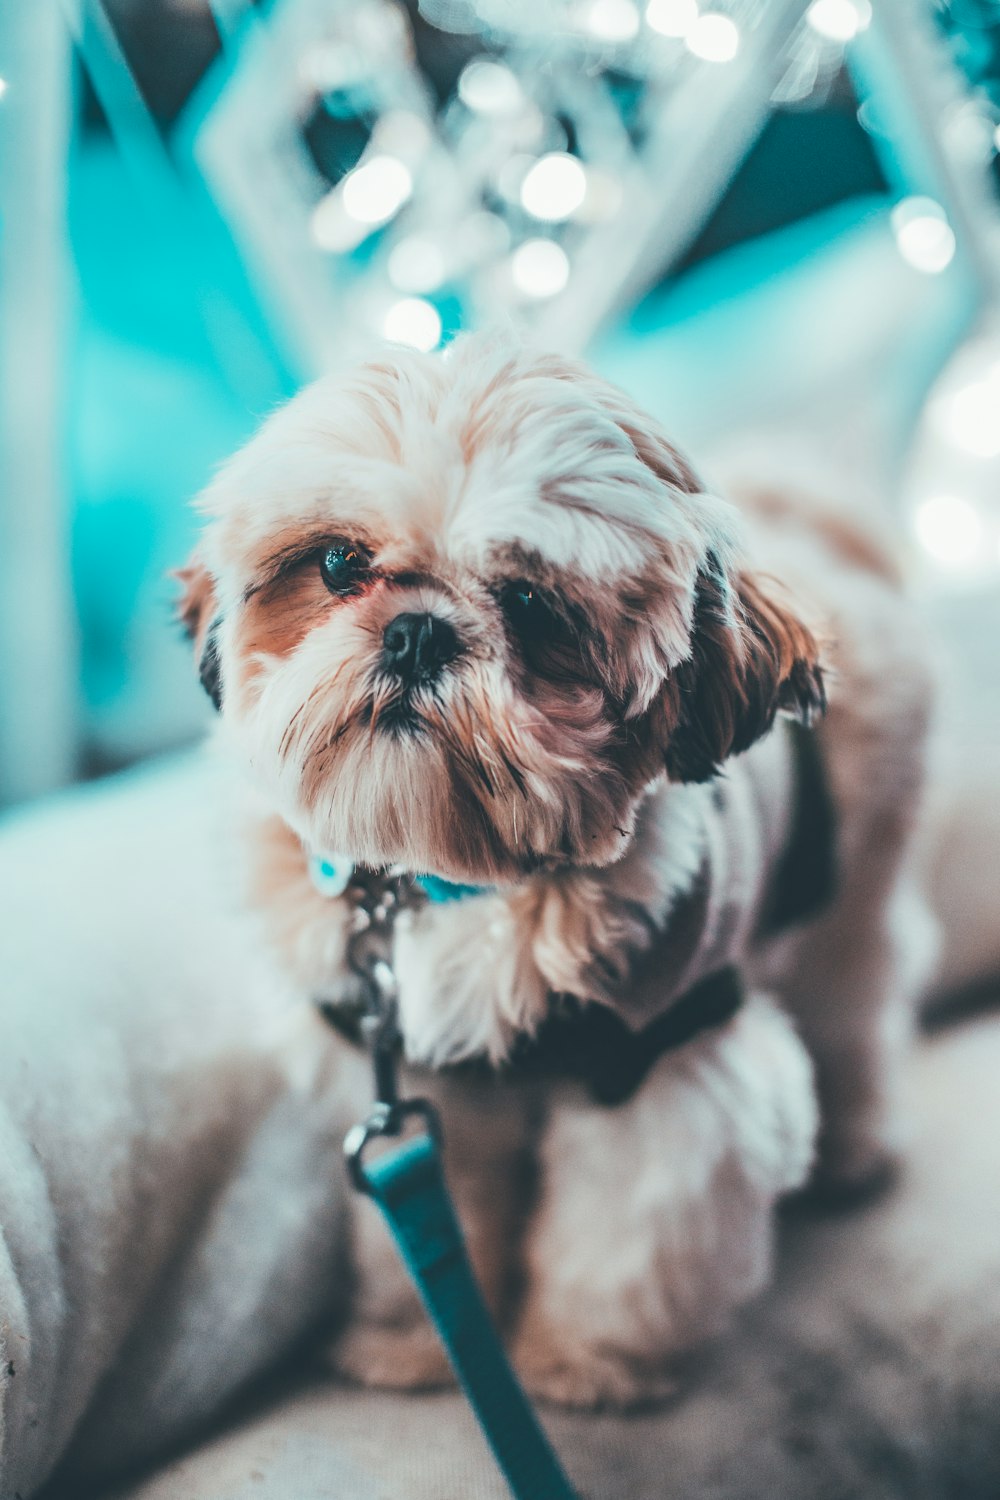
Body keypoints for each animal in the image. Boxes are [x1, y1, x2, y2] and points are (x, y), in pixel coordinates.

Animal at [177, 334, 941, 1410]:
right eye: (337, 564)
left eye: (532, 606)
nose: (417, 629)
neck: (452, 881)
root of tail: (816, 535)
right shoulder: (416, 1081)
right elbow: (432, 1231)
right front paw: (418, 1344)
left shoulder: (666, 1063)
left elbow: (625, 1239)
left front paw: (583, 1361)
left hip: (847, 888)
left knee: (856, 999)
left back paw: (855, 1148)